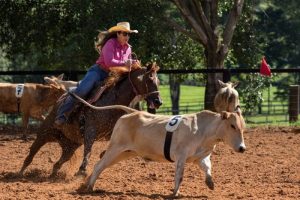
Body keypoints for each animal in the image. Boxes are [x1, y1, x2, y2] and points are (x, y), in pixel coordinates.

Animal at [19, 62, 162, 177]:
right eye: (149, 79)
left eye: (158, 81)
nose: (158, 101)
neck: (113, 101)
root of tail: (61, 99)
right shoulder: (90, 130)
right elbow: (88, 150)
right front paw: (82, 170)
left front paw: (102, 155)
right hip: (45, 133)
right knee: (31, 153)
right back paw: (20, 172)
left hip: (70, 145)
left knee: (59, 161)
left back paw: (53, 174)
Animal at [73, 95, 246, 195]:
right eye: (232, 126)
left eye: (242, 127)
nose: (242, 148)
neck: (204, 129)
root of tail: (132, 112)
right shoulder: (181, 156)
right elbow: (179, 176)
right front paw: (175, 193)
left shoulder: (201, 157)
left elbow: (207, 168)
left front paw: (210, 183)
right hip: (115, 148)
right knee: (99, 165)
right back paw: (89, 188)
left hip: (125, 152)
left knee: (101, 164)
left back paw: (86, 184)